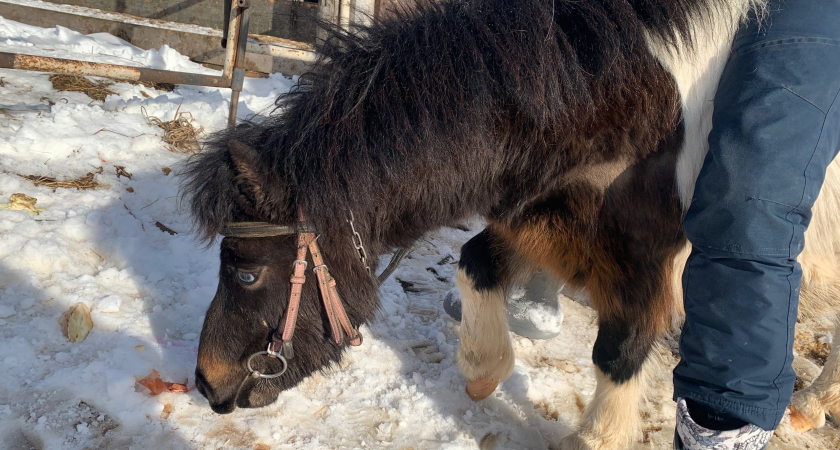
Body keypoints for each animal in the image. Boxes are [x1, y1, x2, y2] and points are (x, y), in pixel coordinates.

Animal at [180, 1, 836, 448]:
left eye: (245, 274)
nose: (208, 384)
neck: (632, 96)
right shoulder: (548, 218)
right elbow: (476, 265)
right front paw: (482, 373)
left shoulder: (642, 254)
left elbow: (621, 350)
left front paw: (595, 434)